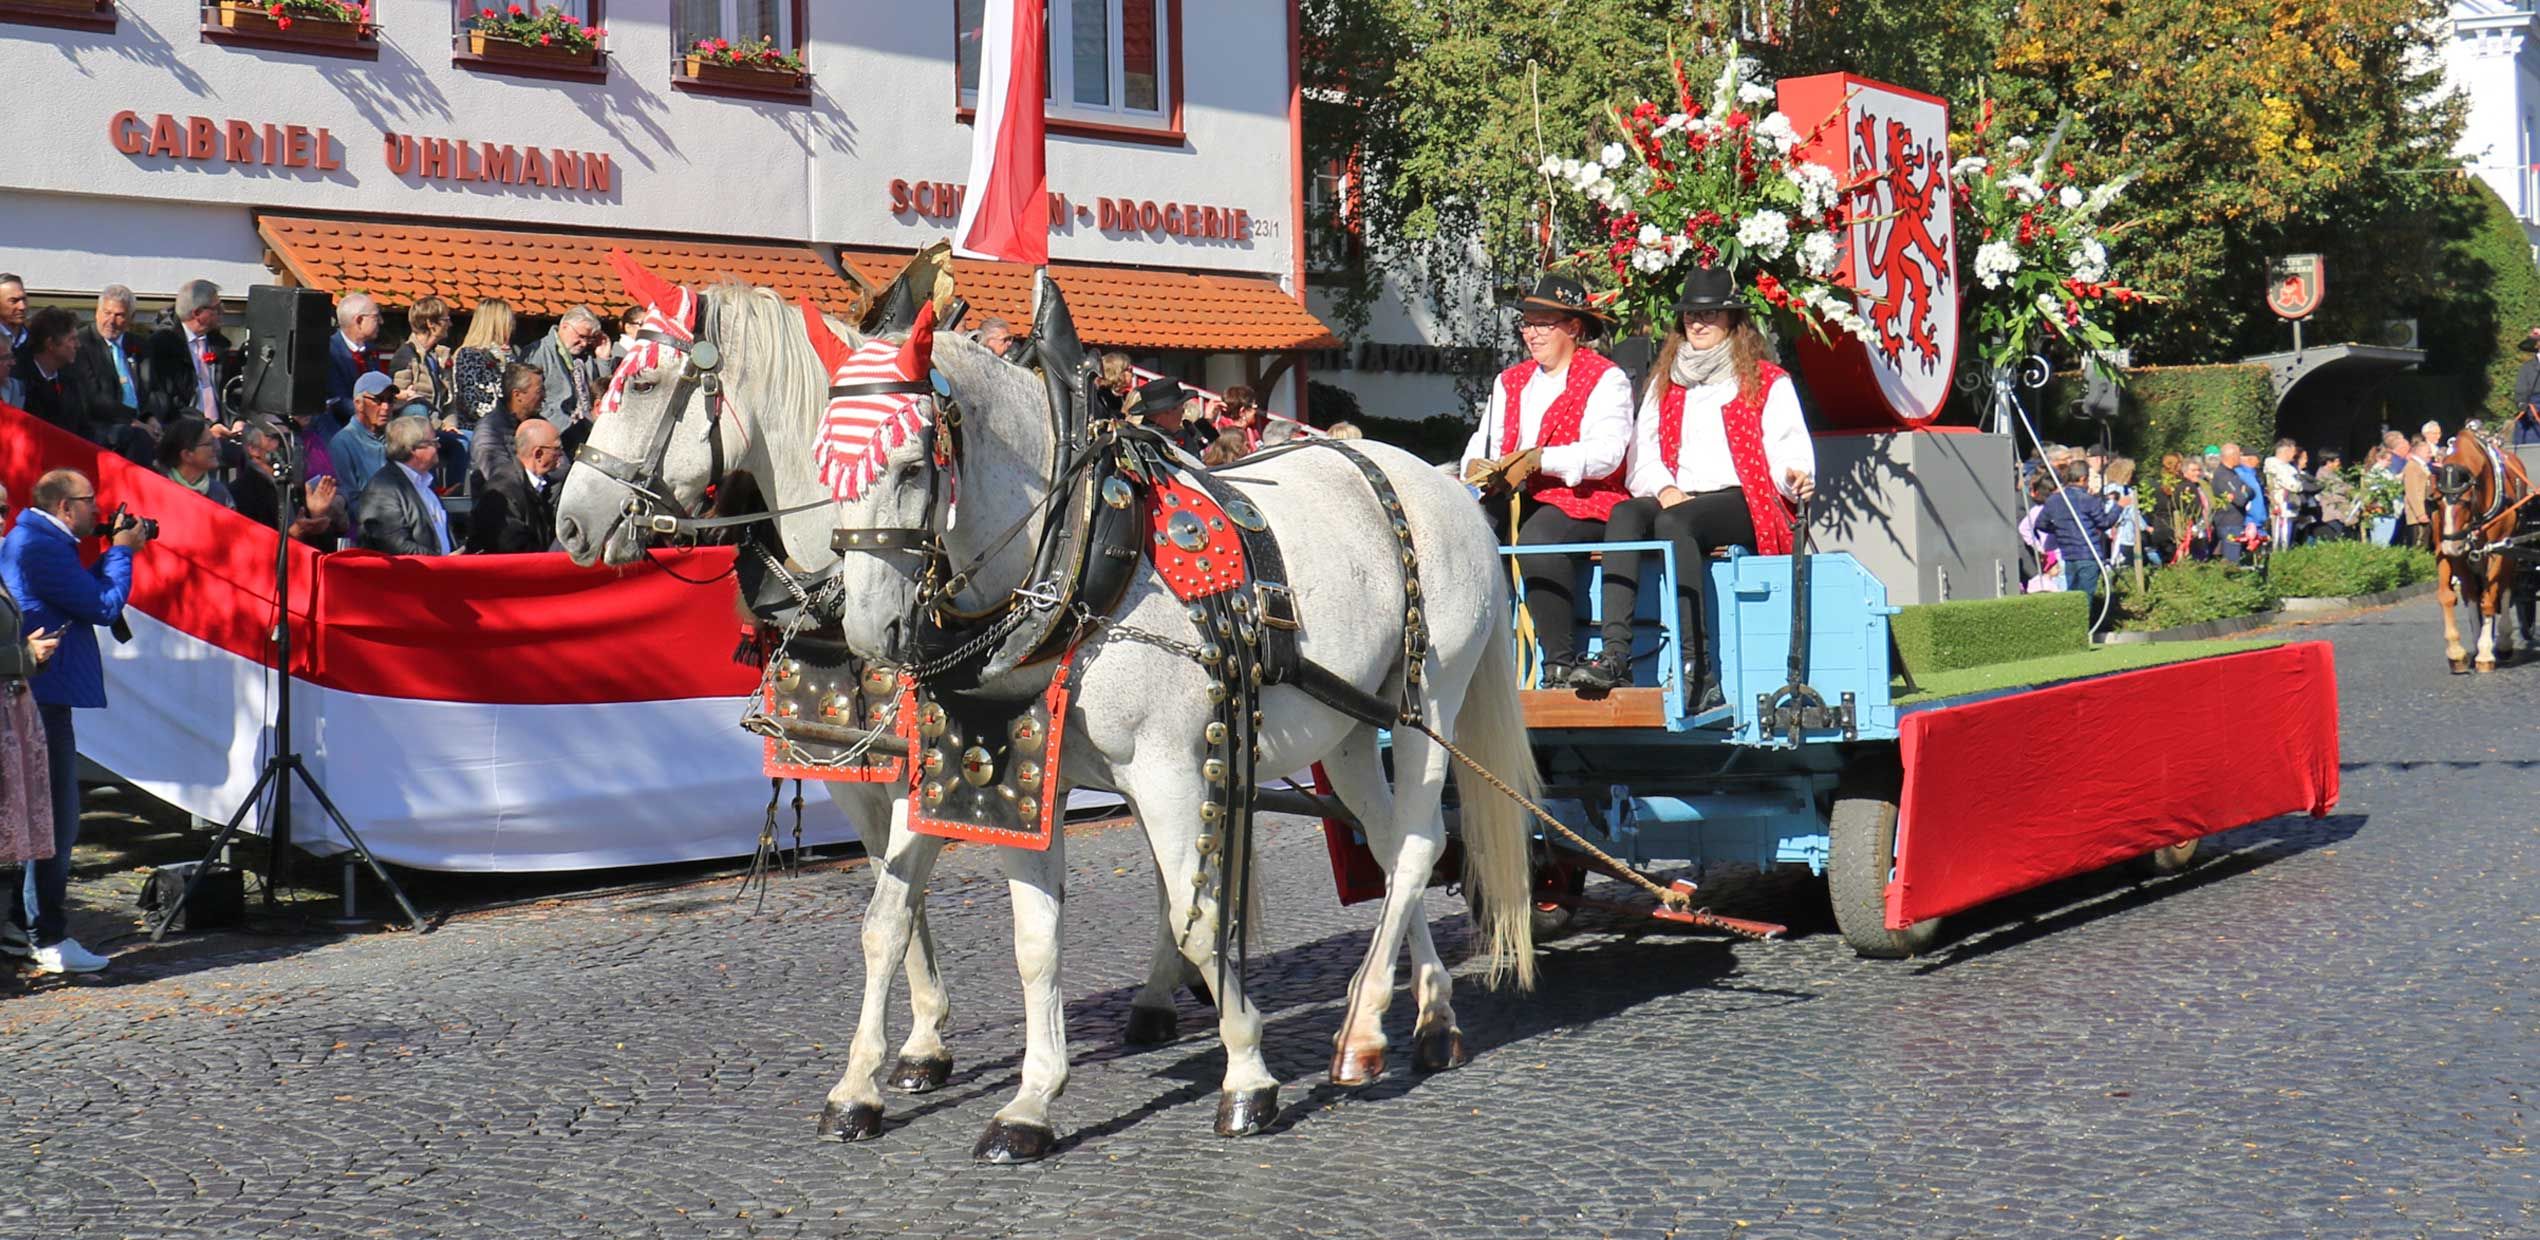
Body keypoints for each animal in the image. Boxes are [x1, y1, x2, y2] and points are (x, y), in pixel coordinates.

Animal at [546, 269, 1198, 1092]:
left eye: (644, 383)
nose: (570, 524)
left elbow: (898, 900)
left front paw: (887, 1064)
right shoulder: (854, 772)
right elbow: (898, 903)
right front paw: (921, 1043)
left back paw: (1162, 994)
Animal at [802, 293, 1534, 1163]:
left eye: (913, 465)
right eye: (822, 469)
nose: (868, 629)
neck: (1075, 551)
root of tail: (1449, 485)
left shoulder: (1165, 772)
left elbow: (1200, 917)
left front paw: (1247, 1076)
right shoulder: (1002, 770)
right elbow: (949, 929)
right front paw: (1000, 1101)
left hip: (1429, 702)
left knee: (1422, 843)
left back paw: (1359, 1031)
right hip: (1354, 726)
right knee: (1393, 855)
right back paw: (1428, 1013)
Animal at [2428, 431, 2529, 670]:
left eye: (2465, 501)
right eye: (2436, 501)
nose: (2451, 545)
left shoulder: (2499, 550)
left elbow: (2490, 598)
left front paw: (2485, 653)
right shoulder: (2452, 552)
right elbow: (2450, 597)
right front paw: (2456, 651)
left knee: (2505, 589)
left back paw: (2502, 642)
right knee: (2472, 592)